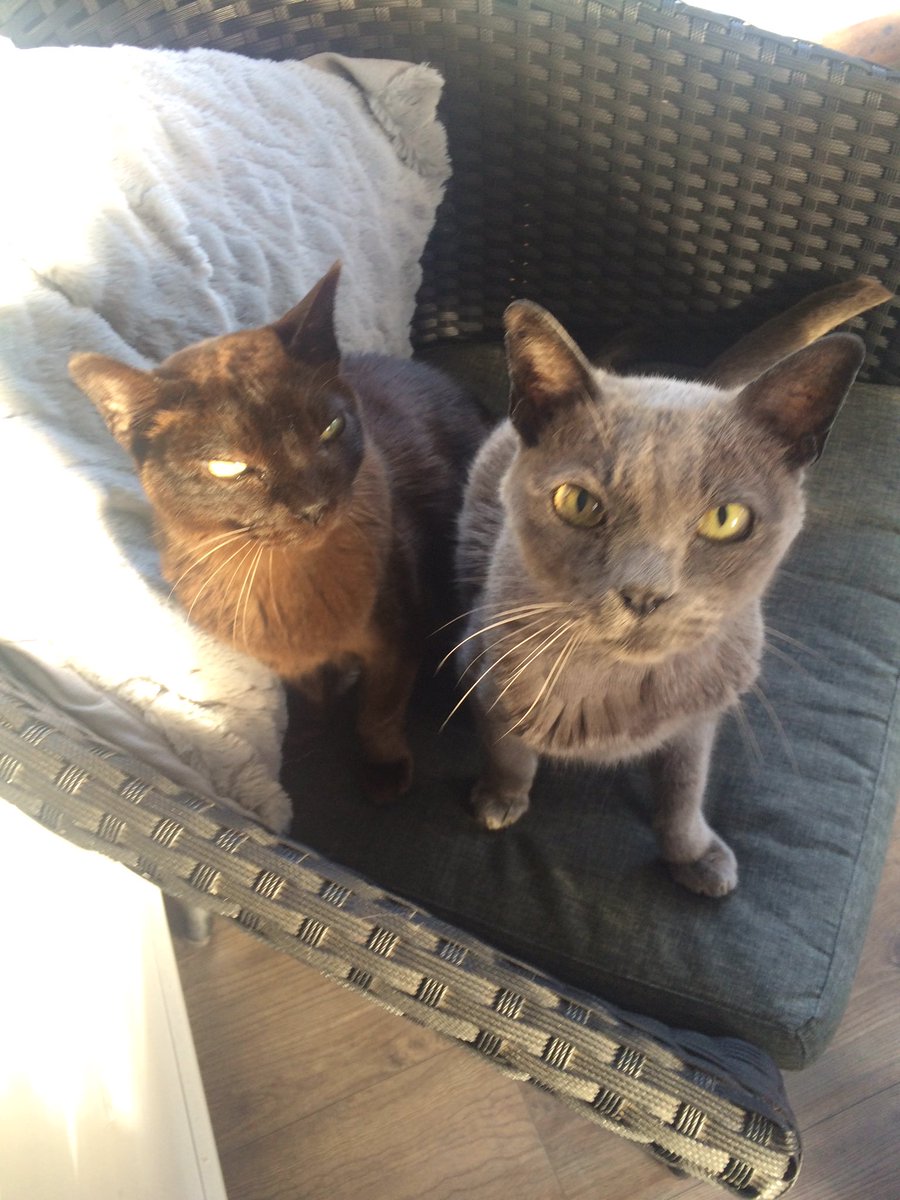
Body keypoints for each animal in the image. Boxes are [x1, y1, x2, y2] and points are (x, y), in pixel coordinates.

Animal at [70, 263, 485, 805]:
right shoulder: (288, 662)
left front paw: (384, 770)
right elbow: (311, 697)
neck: (286, 581)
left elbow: (378, 713)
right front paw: (309, 732)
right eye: (227, 467)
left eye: (331, 429)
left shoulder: (398, 638)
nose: (312, 507)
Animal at [454, 299, 864, 896]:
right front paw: (498, 799)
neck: (613, 689)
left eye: (726, 519)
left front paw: (694, 856)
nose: (645, 593)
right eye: (578, 503)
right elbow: (509, 751)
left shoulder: (698, 724)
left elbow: (683, 790)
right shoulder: (483, 671)